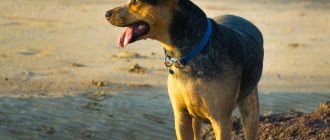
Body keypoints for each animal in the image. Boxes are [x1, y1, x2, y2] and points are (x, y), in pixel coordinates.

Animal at [105, 0, 262, 139]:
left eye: (135, 1)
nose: (106, 13)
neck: (187, 55)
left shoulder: (221, 121)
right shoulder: (181, 116)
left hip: (250, 113)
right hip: (195, 117)